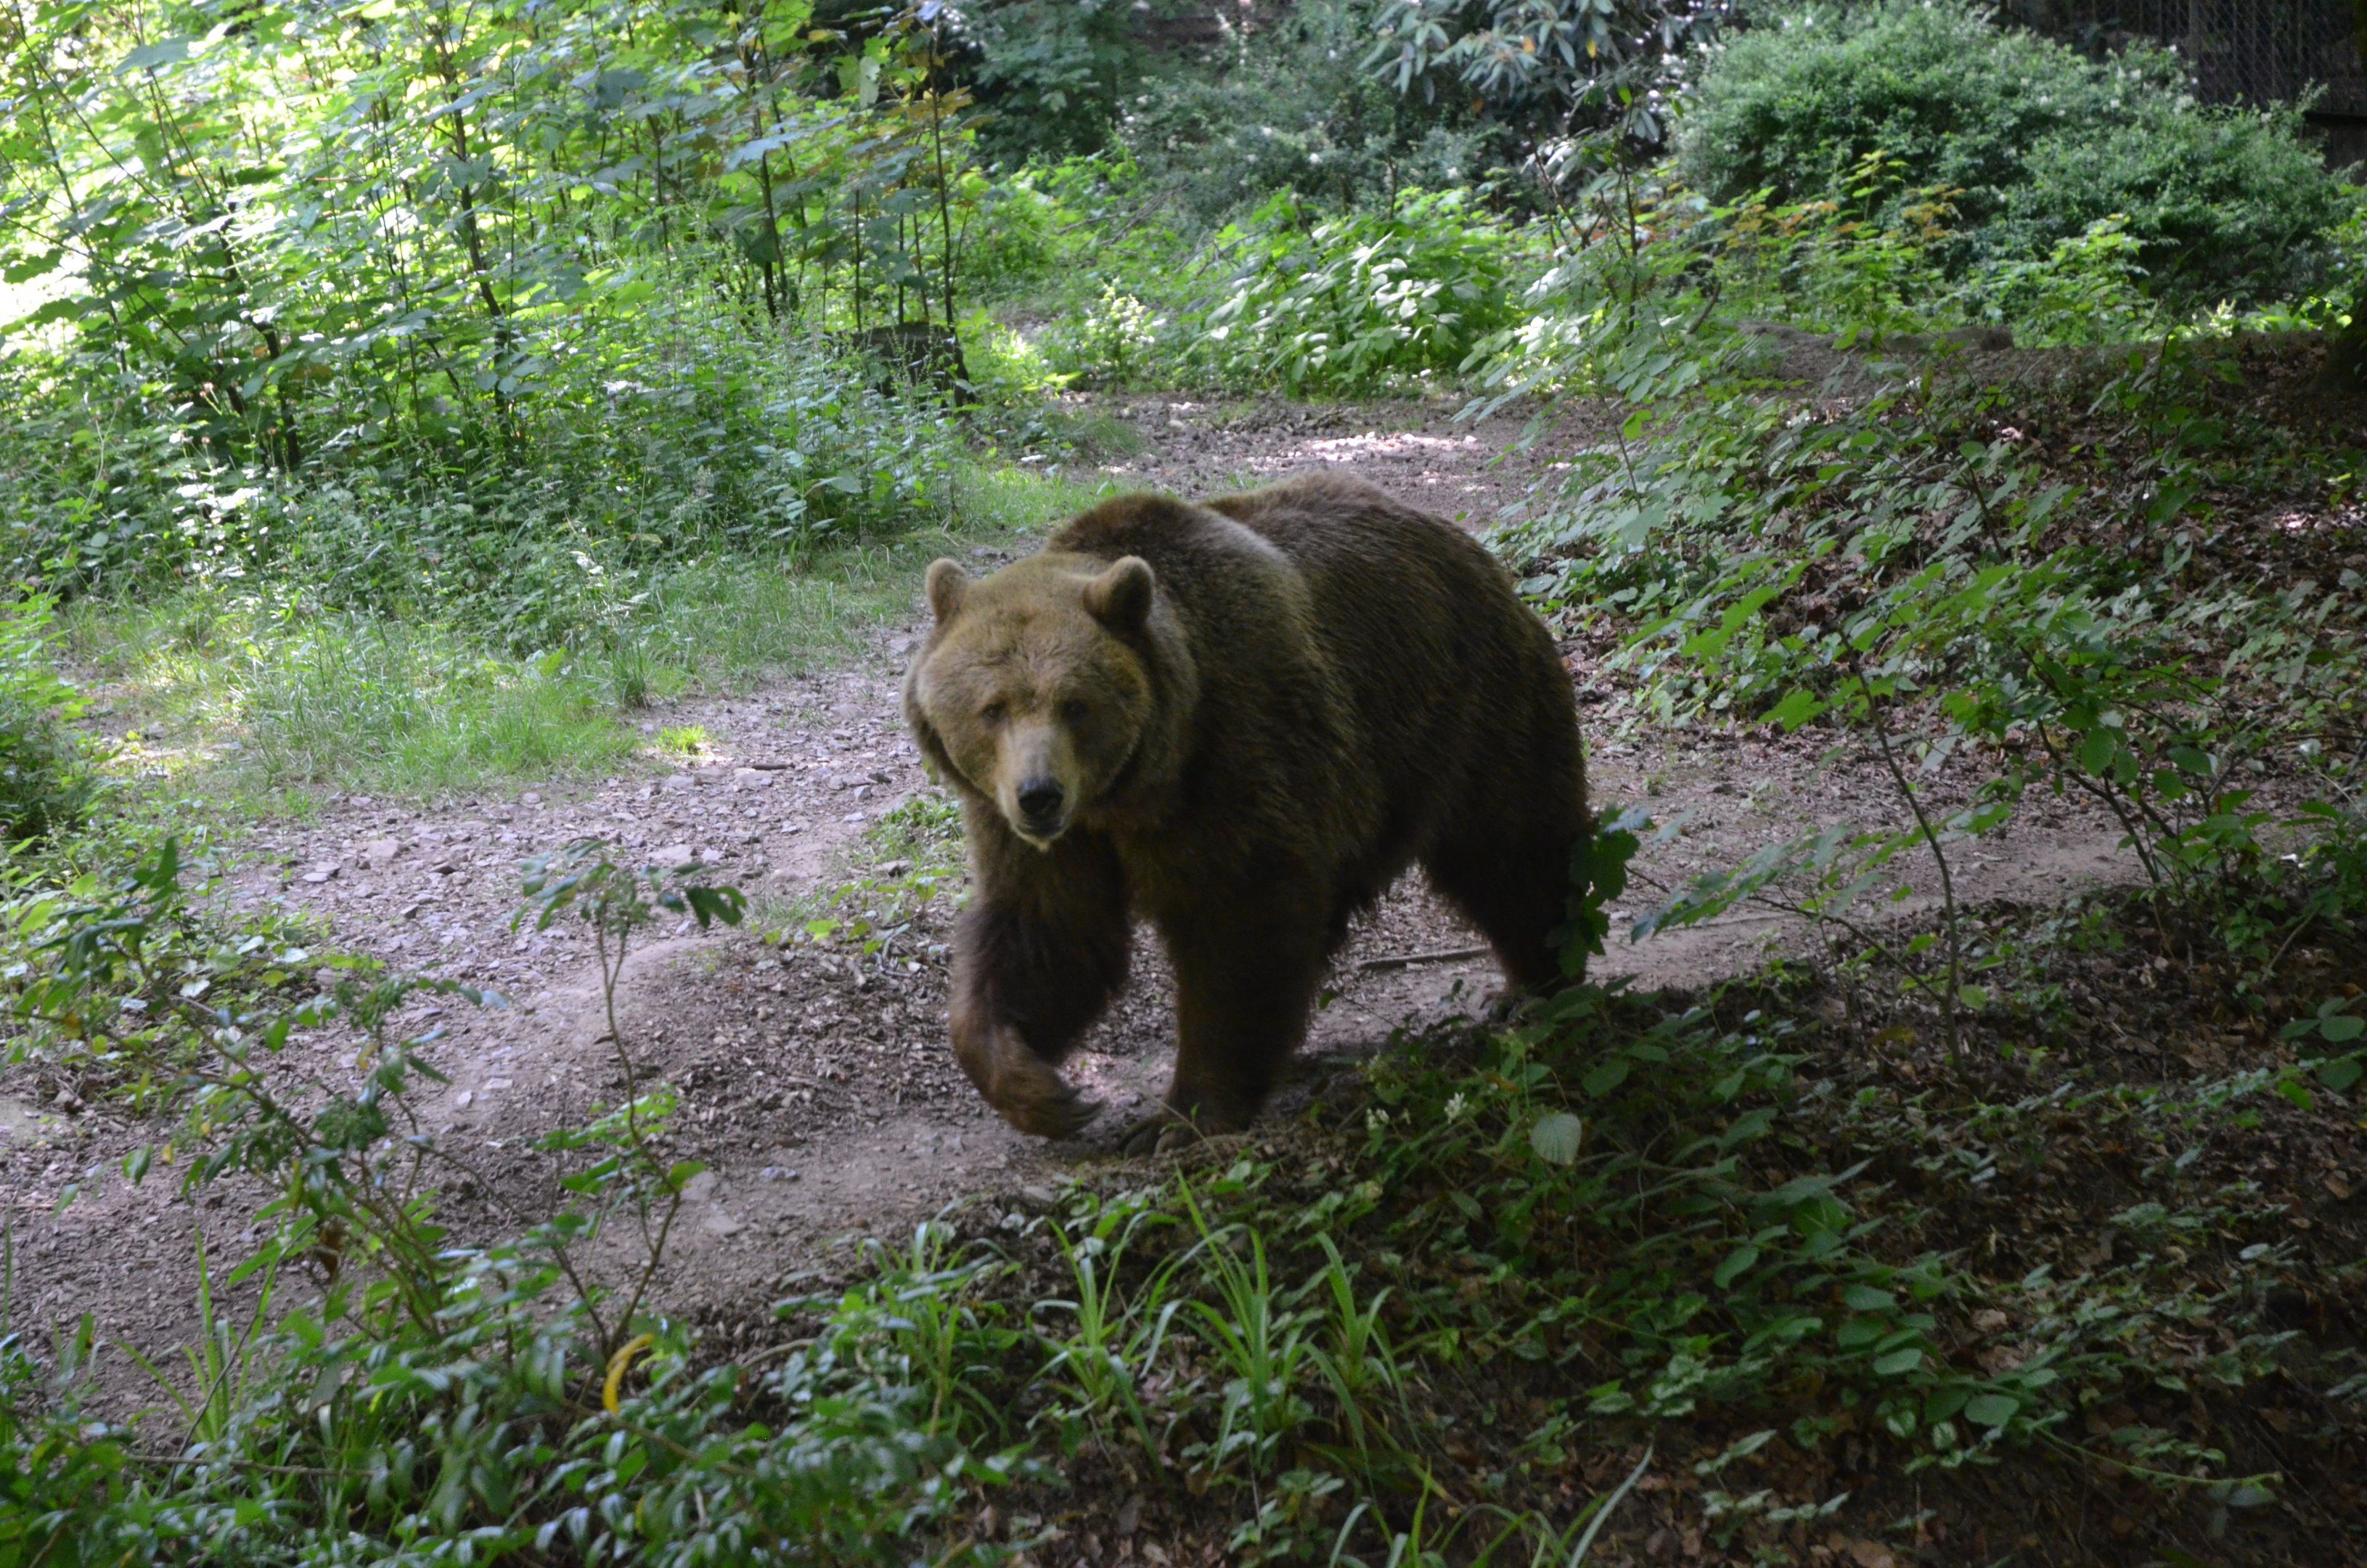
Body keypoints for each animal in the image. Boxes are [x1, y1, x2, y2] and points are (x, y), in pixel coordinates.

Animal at [902, 471, 1590, 1148]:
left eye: (1075, 704)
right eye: (993, 709)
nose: (1039, 794)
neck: (1134, 790)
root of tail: (1470, 550)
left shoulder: (1233, 757)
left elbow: (1237, 927)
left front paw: (1182, 1115)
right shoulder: (1041, 834)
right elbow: (1048, 932)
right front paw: (1039, 1089)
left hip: (1468, 712)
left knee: (1512, 856)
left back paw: (1536, 985)